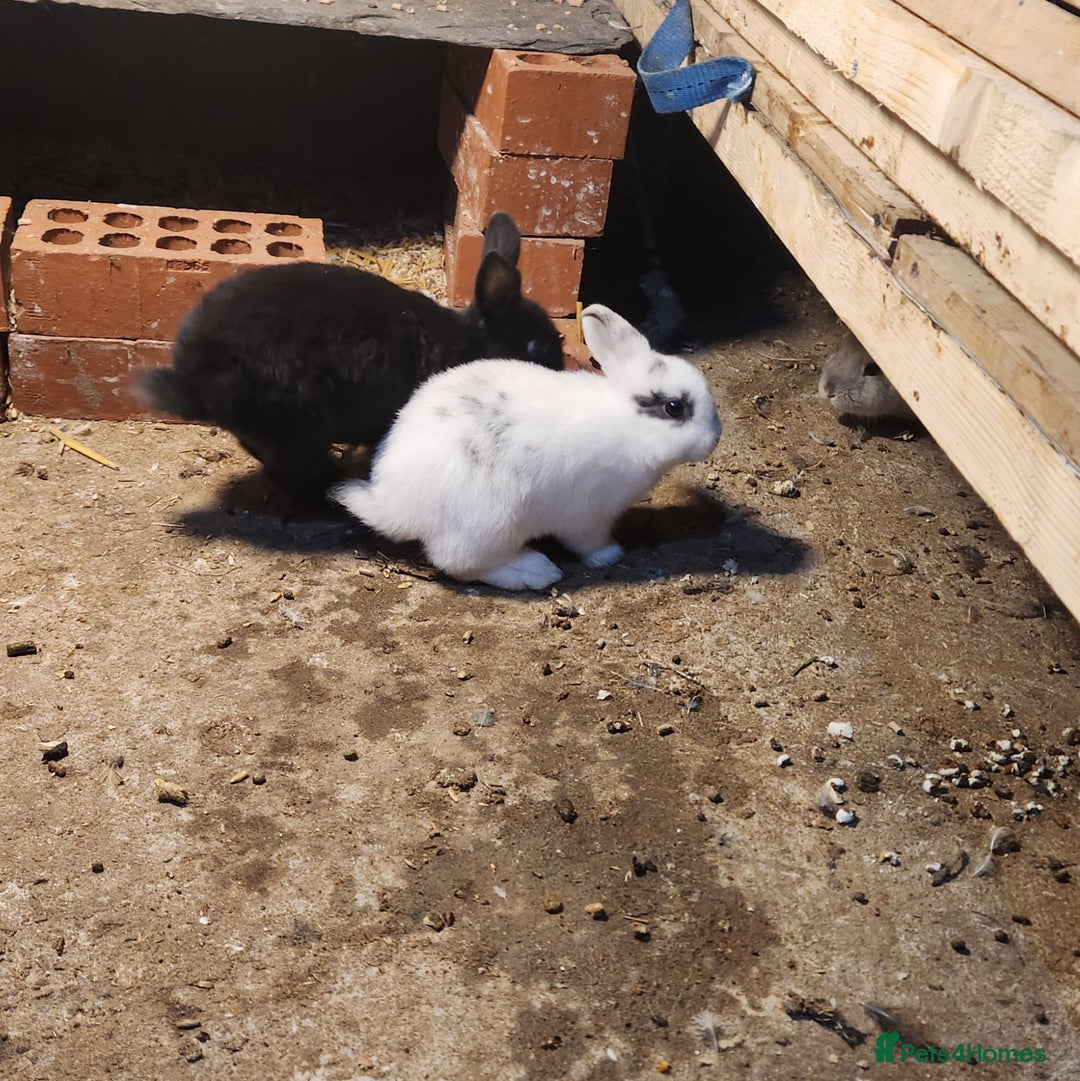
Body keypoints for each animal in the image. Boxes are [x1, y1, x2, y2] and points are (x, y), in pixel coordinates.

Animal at [332, 303, 722, 591]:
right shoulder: (589, 514)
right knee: (458, 563)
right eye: (675, 407)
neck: (629, 425)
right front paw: (611, 555)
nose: (714, 437)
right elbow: (589, 543)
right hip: (492, 523)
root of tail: (394, 504)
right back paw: (535, 571)